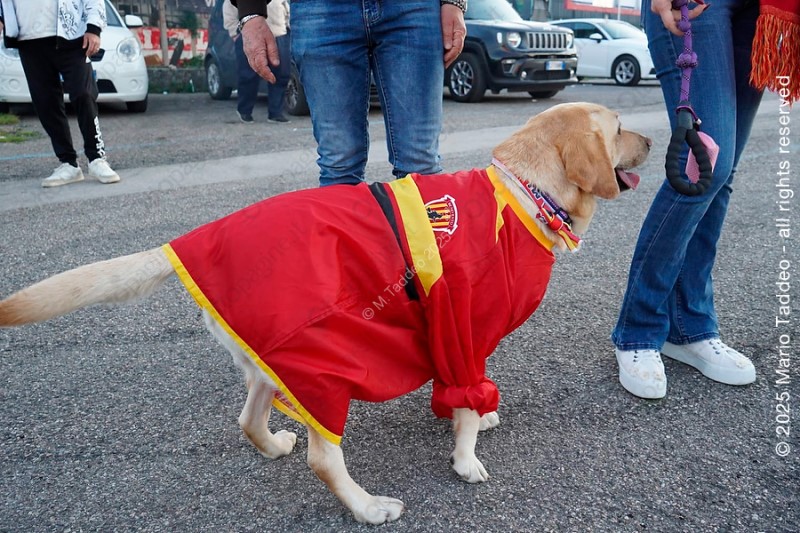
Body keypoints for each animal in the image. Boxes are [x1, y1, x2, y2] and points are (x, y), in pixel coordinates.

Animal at [0, 103, 650, 524]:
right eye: (620, 129)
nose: (655, 142)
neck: (522, 193)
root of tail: (184, 244)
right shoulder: (461, 325)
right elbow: (464, 401)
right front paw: (467, 459)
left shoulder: (455, 335)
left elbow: (461, 392)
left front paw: (475, 416)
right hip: (320, 363)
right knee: (322, 457)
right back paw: (367, 507)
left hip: (272, 361)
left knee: (248, 419)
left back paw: (272, 446)